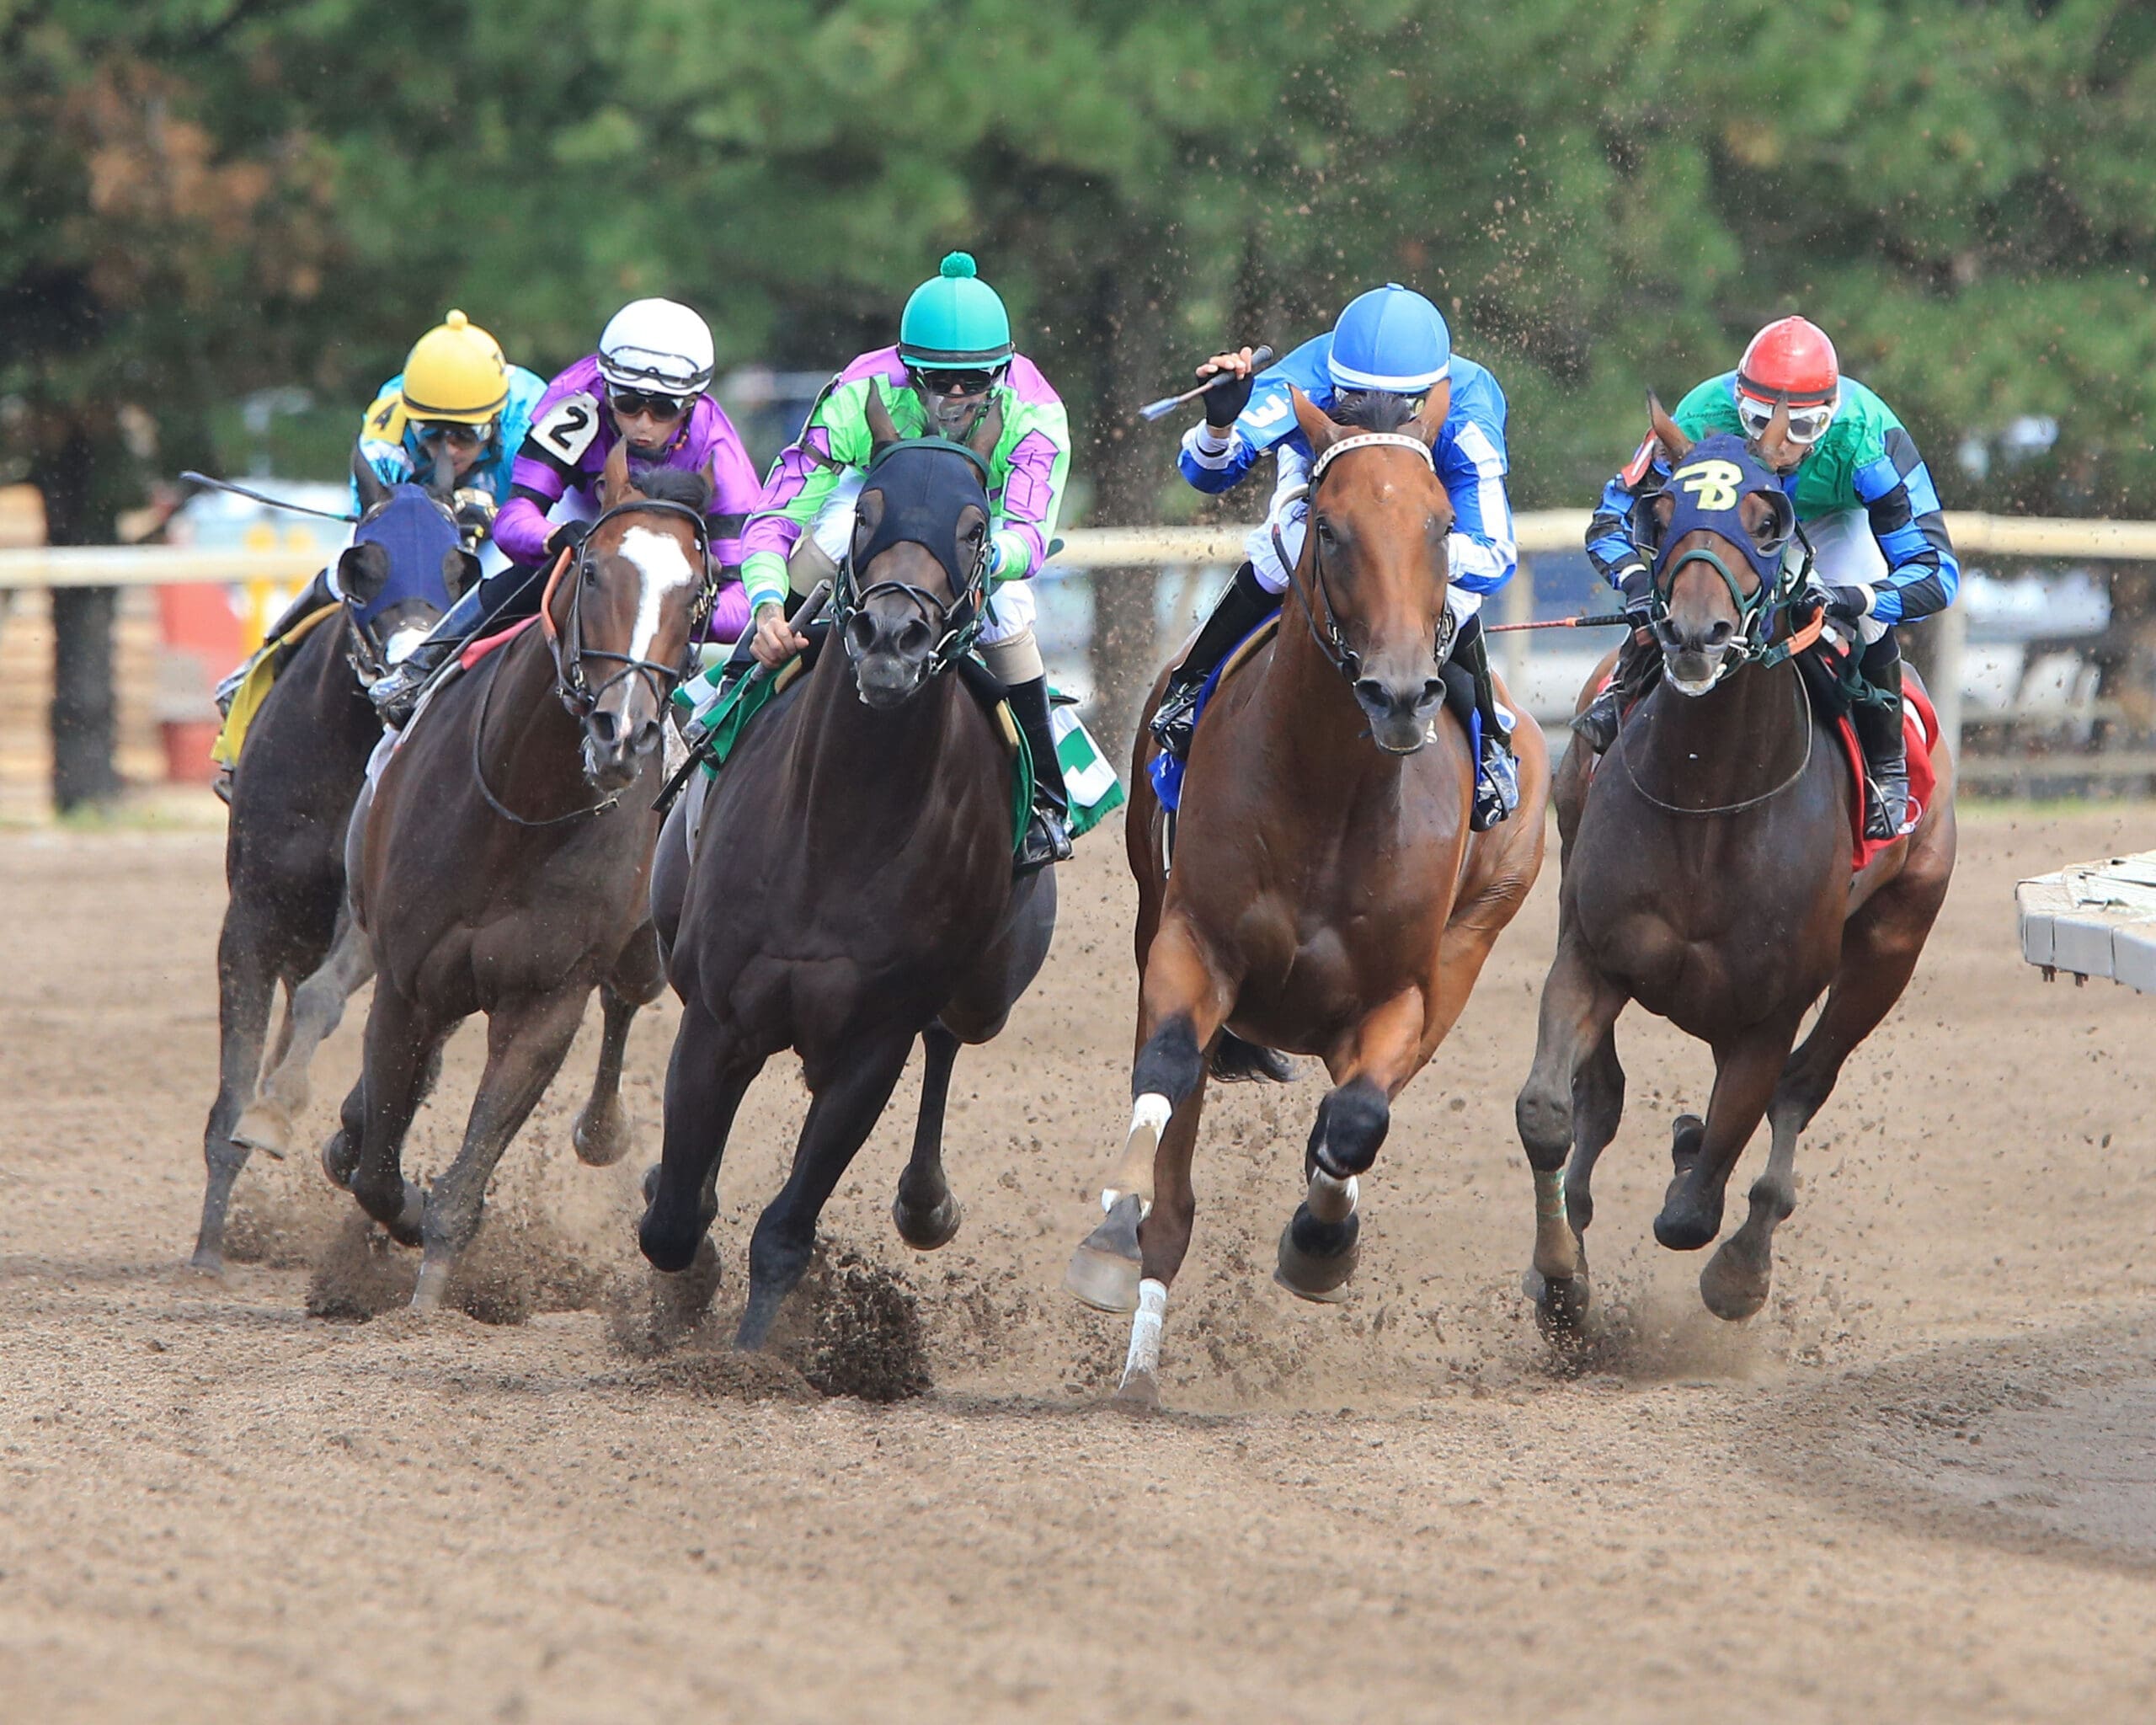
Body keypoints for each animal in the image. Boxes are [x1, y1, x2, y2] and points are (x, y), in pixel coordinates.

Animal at [191, 448, 469, 1272]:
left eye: (462, 565)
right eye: (362, 563)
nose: (409, 665)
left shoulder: (372, 920)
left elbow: (322, 1004)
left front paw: (283, 1114)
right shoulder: (252, 919)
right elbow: (235, 1081)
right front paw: (210, 1244)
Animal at [324, 437, 711, 1309]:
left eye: (698, 596)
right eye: (594, 570)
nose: (623, 732)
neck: (517, 814)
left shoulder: (545, 999)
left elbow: (467, 1170)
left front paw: (431, 1285)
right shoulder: (407, 981)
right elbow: (376, 1169)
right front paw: (394, 1200)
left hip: (642, 947)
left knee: (625, 1000)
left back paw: (602, 1132)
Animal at [638, 389, 1056, 1351]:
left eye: (976, 527)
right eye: (867, 512)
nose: (892, 636)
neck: (838, 829)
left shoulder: (873, 1040)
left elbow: (784, 1232)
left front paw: (752, 1358)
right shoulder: (717, 1014)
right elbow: (674, 1218)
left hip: (984, 992)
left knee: (949, 1038)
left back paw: (925, 1204)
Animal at [1063, 386, 1550, 1407]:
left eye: (1443, 525)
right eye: (1328, 527)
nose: (1401, 693)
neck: (1330, 794)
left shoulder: (1401, 994)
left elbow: (1358, 1122)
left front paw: (1322, 1243)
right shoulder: (1189, 945)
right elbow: (1166, 1075)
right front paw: (1113, 1235)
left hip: (1473, 939)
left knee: (1357, 1111)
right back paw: (1139, 1344)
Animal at [1513, 409, 1956, 1336]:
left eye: (1769, 520)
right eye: (1661, 510)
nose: (1693, 634)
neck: (1711, 797)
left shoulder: (1767, 1014)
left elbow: (1695, 1204)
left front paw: (1715, 1229)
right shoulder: (1593, 953)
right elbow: (1549, 1111)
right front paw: (1560, 1282)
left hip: (1890, 947)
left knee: (1801, 1088)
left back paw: (1744, 1262)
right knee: (1603, 1093)